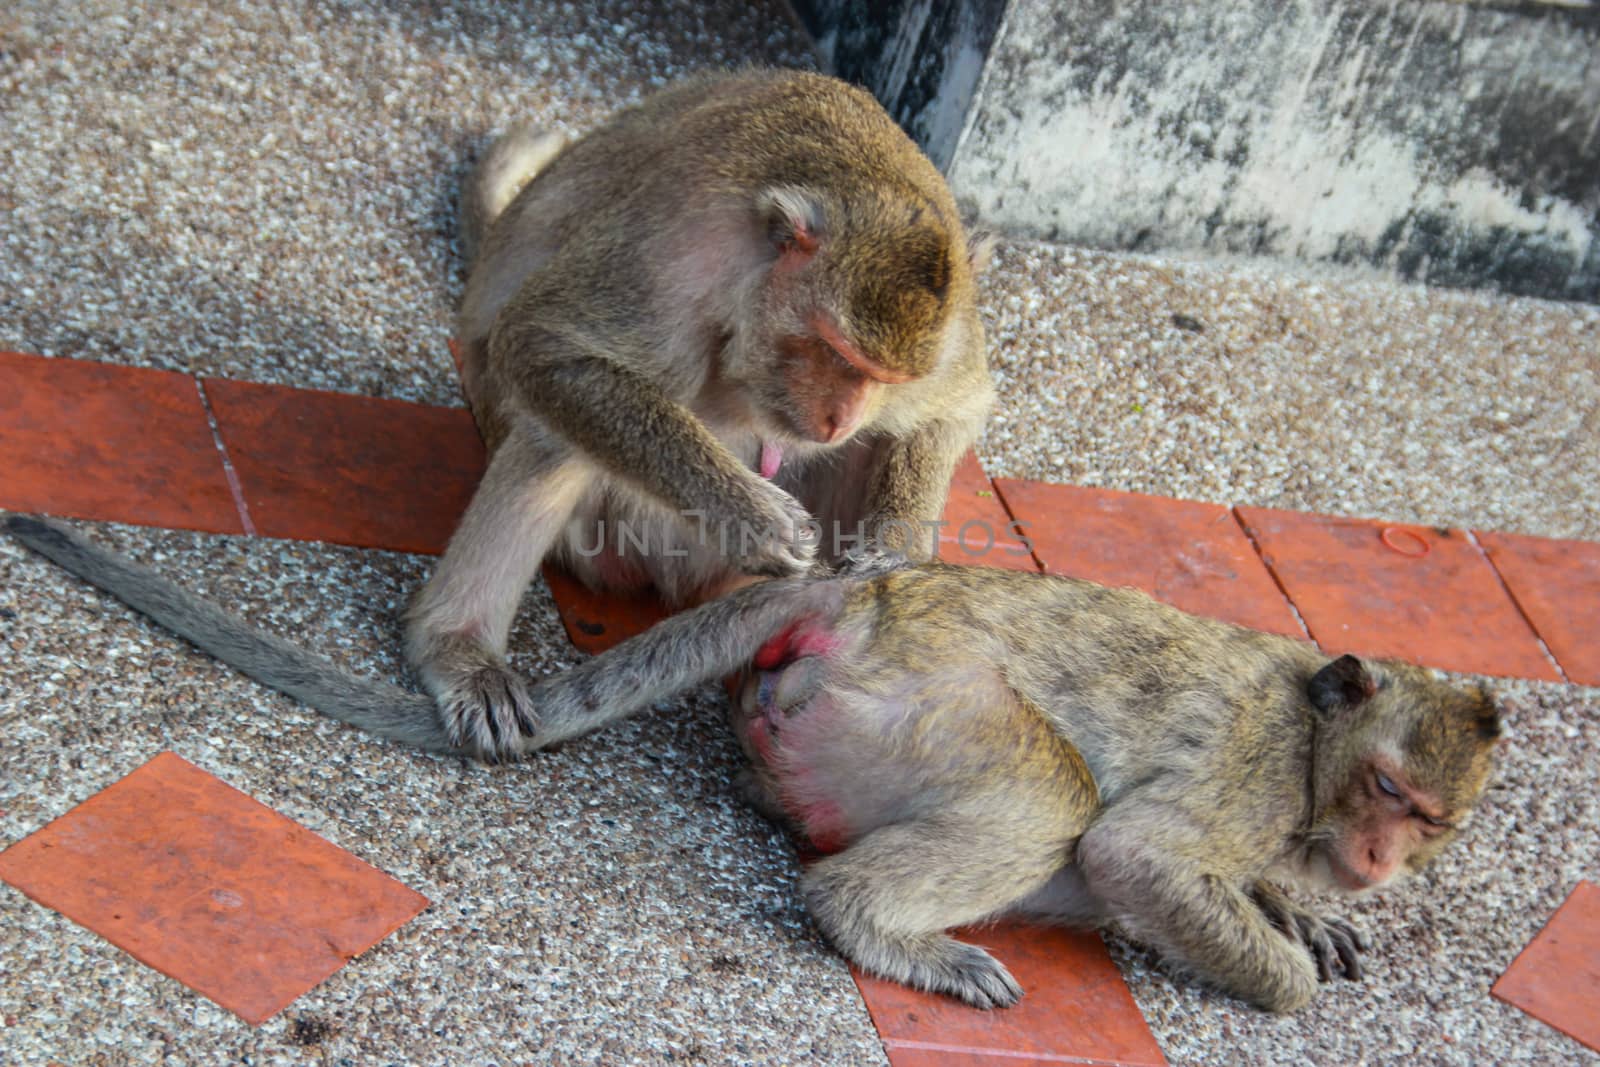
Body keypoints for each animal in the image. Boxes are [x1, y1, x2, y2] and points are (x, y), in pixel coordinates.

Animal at [3, 518, 1497, 1017]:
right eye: (1391, 793)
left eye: (1428, 820)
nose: (1382, 856)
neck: (1314, 744)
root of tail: (857, 587)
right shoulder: (1252, 766)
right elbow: (1131, 850)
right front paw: (1288, 963)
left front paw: (1308, 911)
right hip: (912, 698)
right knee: (1057, 803)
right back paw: (879, 924)